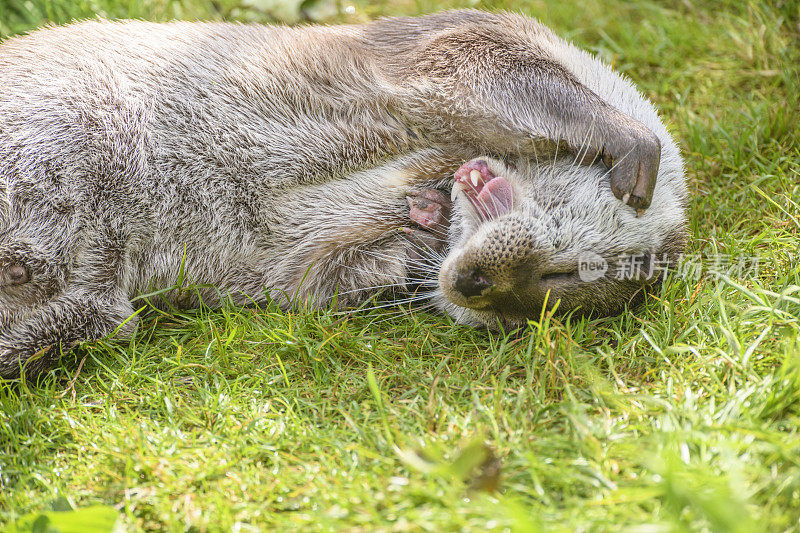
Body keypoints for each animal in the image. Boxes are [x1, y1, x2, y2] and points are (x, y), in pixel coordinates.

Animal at [0, 10, 688, 376]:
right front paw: (624, 138)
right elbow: (481, 66)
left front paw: (423, 230)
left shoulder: (319, 256)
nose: (474, 284)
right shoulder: (465, 39)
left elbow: (317, 278)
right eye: (565, 271)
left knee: (103, 319)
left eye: (541, 301)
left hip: (97, 307)